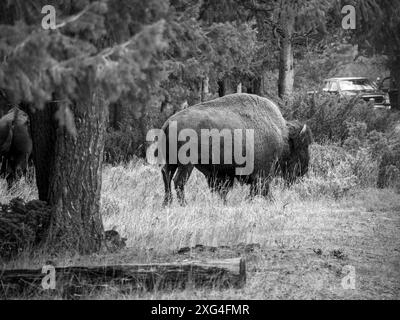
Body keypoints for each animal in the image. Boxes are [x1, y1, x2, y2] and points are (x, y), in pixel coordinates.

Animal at [159, 94, 312, 206]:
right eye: (303, 146)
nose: (303, 170)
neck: (282, 135)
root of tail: (169, 122)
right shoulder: (262, 173)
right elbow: (261, 190)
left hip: (172, 161)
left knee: (166, 174)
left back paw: (167, 203)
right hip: (187, 163)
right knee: (178, 180)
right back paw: (184, 204)